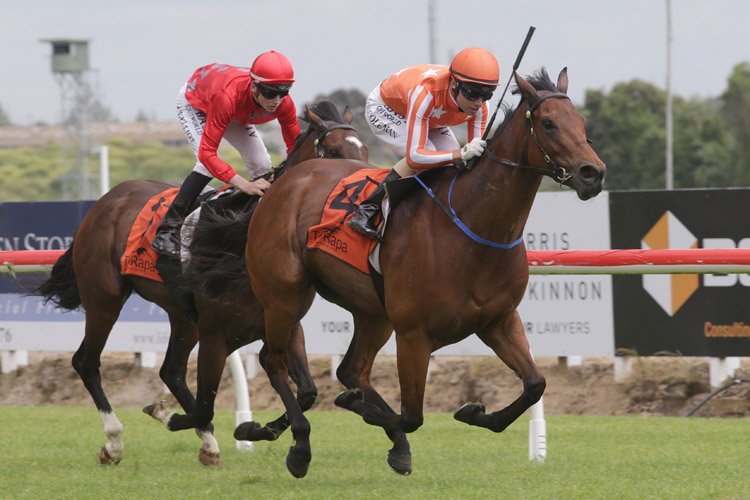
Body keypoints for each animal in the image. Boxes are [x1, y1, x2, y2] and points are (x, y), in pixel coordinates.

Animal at [33, 99, 368, 466]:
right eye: (334, 151)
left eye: (364, 149)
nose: (366, 190)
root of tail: (107, 200)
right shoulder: (215, 336)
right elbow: (207, 404)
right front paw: (168, 415)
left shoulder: (287, 325)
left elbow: (308, 391)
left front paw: (256, 430)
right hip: (103, 298)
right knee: (87, 362)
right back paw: (115, 441)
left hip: (180, 315)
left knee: (171, 371)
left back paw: (207, 444)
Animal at [244, 67, 608, 476]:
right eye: (548, 123)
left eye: (581, 122)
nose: (593, 173)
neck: (472, 226)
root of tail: (283, 183)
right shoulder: (414, 335)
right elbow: (412, 416)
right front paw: (353, 406)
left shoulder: (498, 321)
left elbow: (535, 384)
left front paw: (474, 413)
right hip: (284, 296)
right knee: (274, 361)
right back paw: (296, 443)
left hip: (372, 312)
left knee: (351, 370)